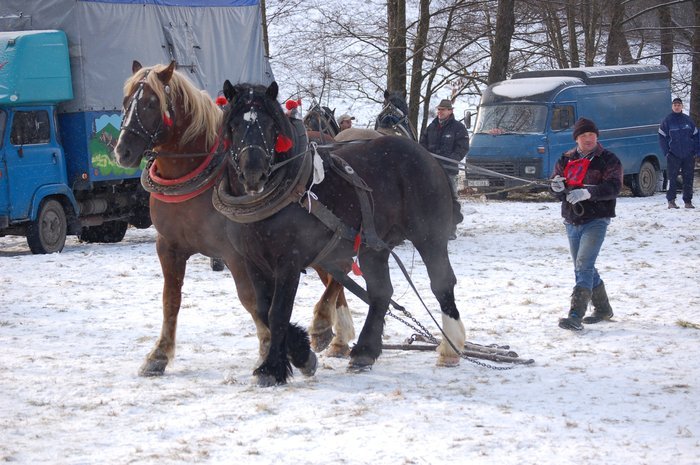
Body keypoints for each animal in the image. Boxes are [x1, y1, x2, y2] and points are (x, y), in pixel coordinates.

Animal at [114, 61, 352, 376]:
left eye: (152, 103)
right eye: (126, 101)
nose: (123, 151)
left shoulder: (237, 253)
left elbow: (251, 300)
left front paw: (275, 350)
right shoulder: (169, 247)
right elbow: (171, 299)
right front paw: (159, 354)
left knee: (340, 271)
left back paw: (328, 329)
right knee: (335, 277)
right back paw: (338, 337)